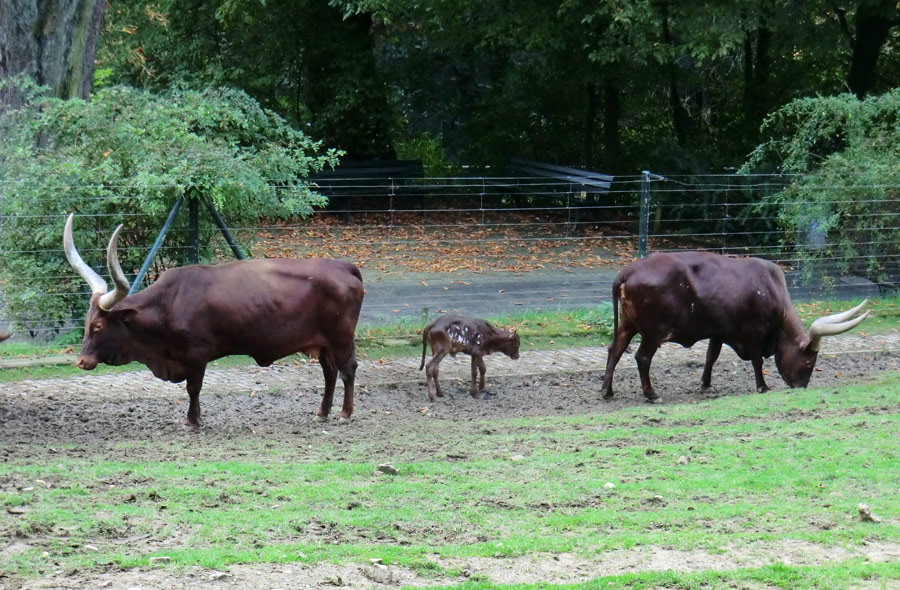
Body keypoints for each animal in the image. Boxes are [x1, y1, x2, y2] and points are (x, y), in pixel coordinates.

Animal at [62, 215, 366, 428]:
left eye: (99, 326)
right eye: (87, 323)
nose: (82, 361)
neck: (168, 303)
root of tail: (343, 266)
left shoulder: (197, 354)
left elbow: (193, 387)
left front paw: (192, 420)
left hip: (341, 338)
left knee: (347, 369)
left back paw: (345, 413)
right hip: (323, 343)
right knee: (329, 372)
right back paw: (322, 412)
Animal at [600, 252, 868, 404]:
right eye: (809, 361)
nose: (801, 387)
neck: (771, 289)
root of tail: (628, 271)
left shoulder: (718, 332)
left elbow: (711, 356)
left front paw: (706, 385)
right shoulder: (754, 333)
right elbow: (757, 361)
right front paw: (763, 386)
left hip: (627, 325)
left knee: (615, 350)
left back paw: (607, 390)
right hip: (654, 332)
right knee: (642, 358)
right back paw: (651, 394)